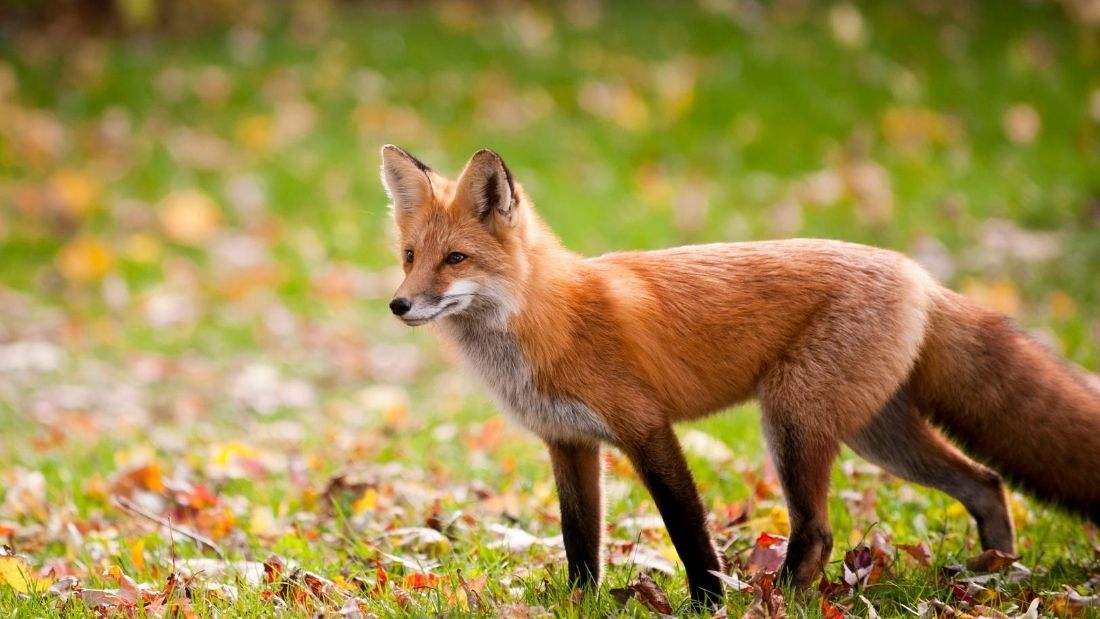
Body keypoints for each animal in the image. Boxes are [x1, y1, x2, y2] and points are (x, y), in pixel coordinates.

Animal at [380, 144, 1100, 607]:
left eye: (455, 258)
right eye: (411, 256)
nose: (399, 305)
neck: (545, 318)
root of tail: (917, 273)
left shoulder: (646, 427)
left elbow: (687, 528)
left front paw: (707, 600)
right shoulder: (569, 442)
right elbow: (579, 538)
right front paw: (580, 601)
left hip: (792, 421)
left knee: (819, 531)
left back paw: (779, 596)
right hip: (878, 436)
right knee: (986, 482)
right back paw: (994, 570)